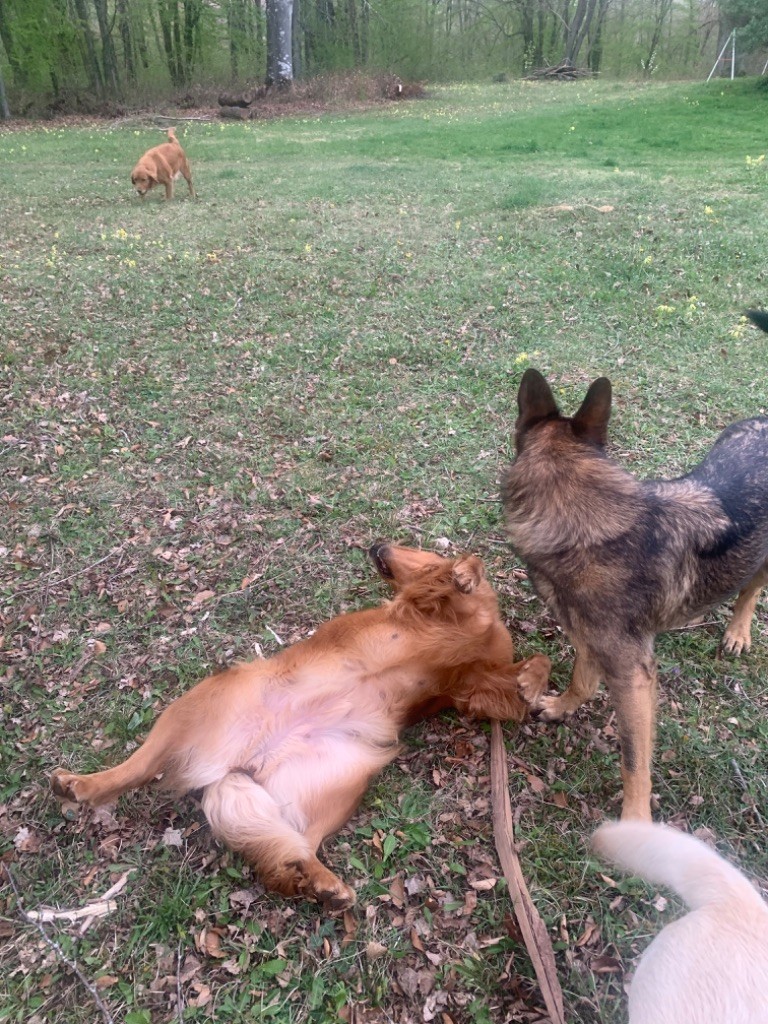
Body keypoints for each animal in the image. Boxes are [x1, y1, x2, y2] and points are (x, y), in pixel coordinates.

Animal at [51, 548, 548, 909]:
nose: (375, 546)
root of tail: (245, 760)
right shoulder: (424, 610)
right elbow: (459, 575)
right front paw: (464, 573)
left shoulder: (471, 689)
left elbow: (528, 669)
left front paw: (534, 684)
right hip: (194, 709)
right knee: (136, 768)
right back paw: (80, 784)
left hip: (333, 786)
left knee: (287, 853)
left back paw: (317, 882)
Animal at [501, 339, 768, 819]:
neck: (585, 524)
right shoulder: (591, 641)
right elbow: (582, 680)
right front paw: (563, 706)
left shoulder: (635, 678)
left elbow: (633, 760)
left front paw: (636, 819)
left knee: (751, 588)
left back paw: (739, 631)